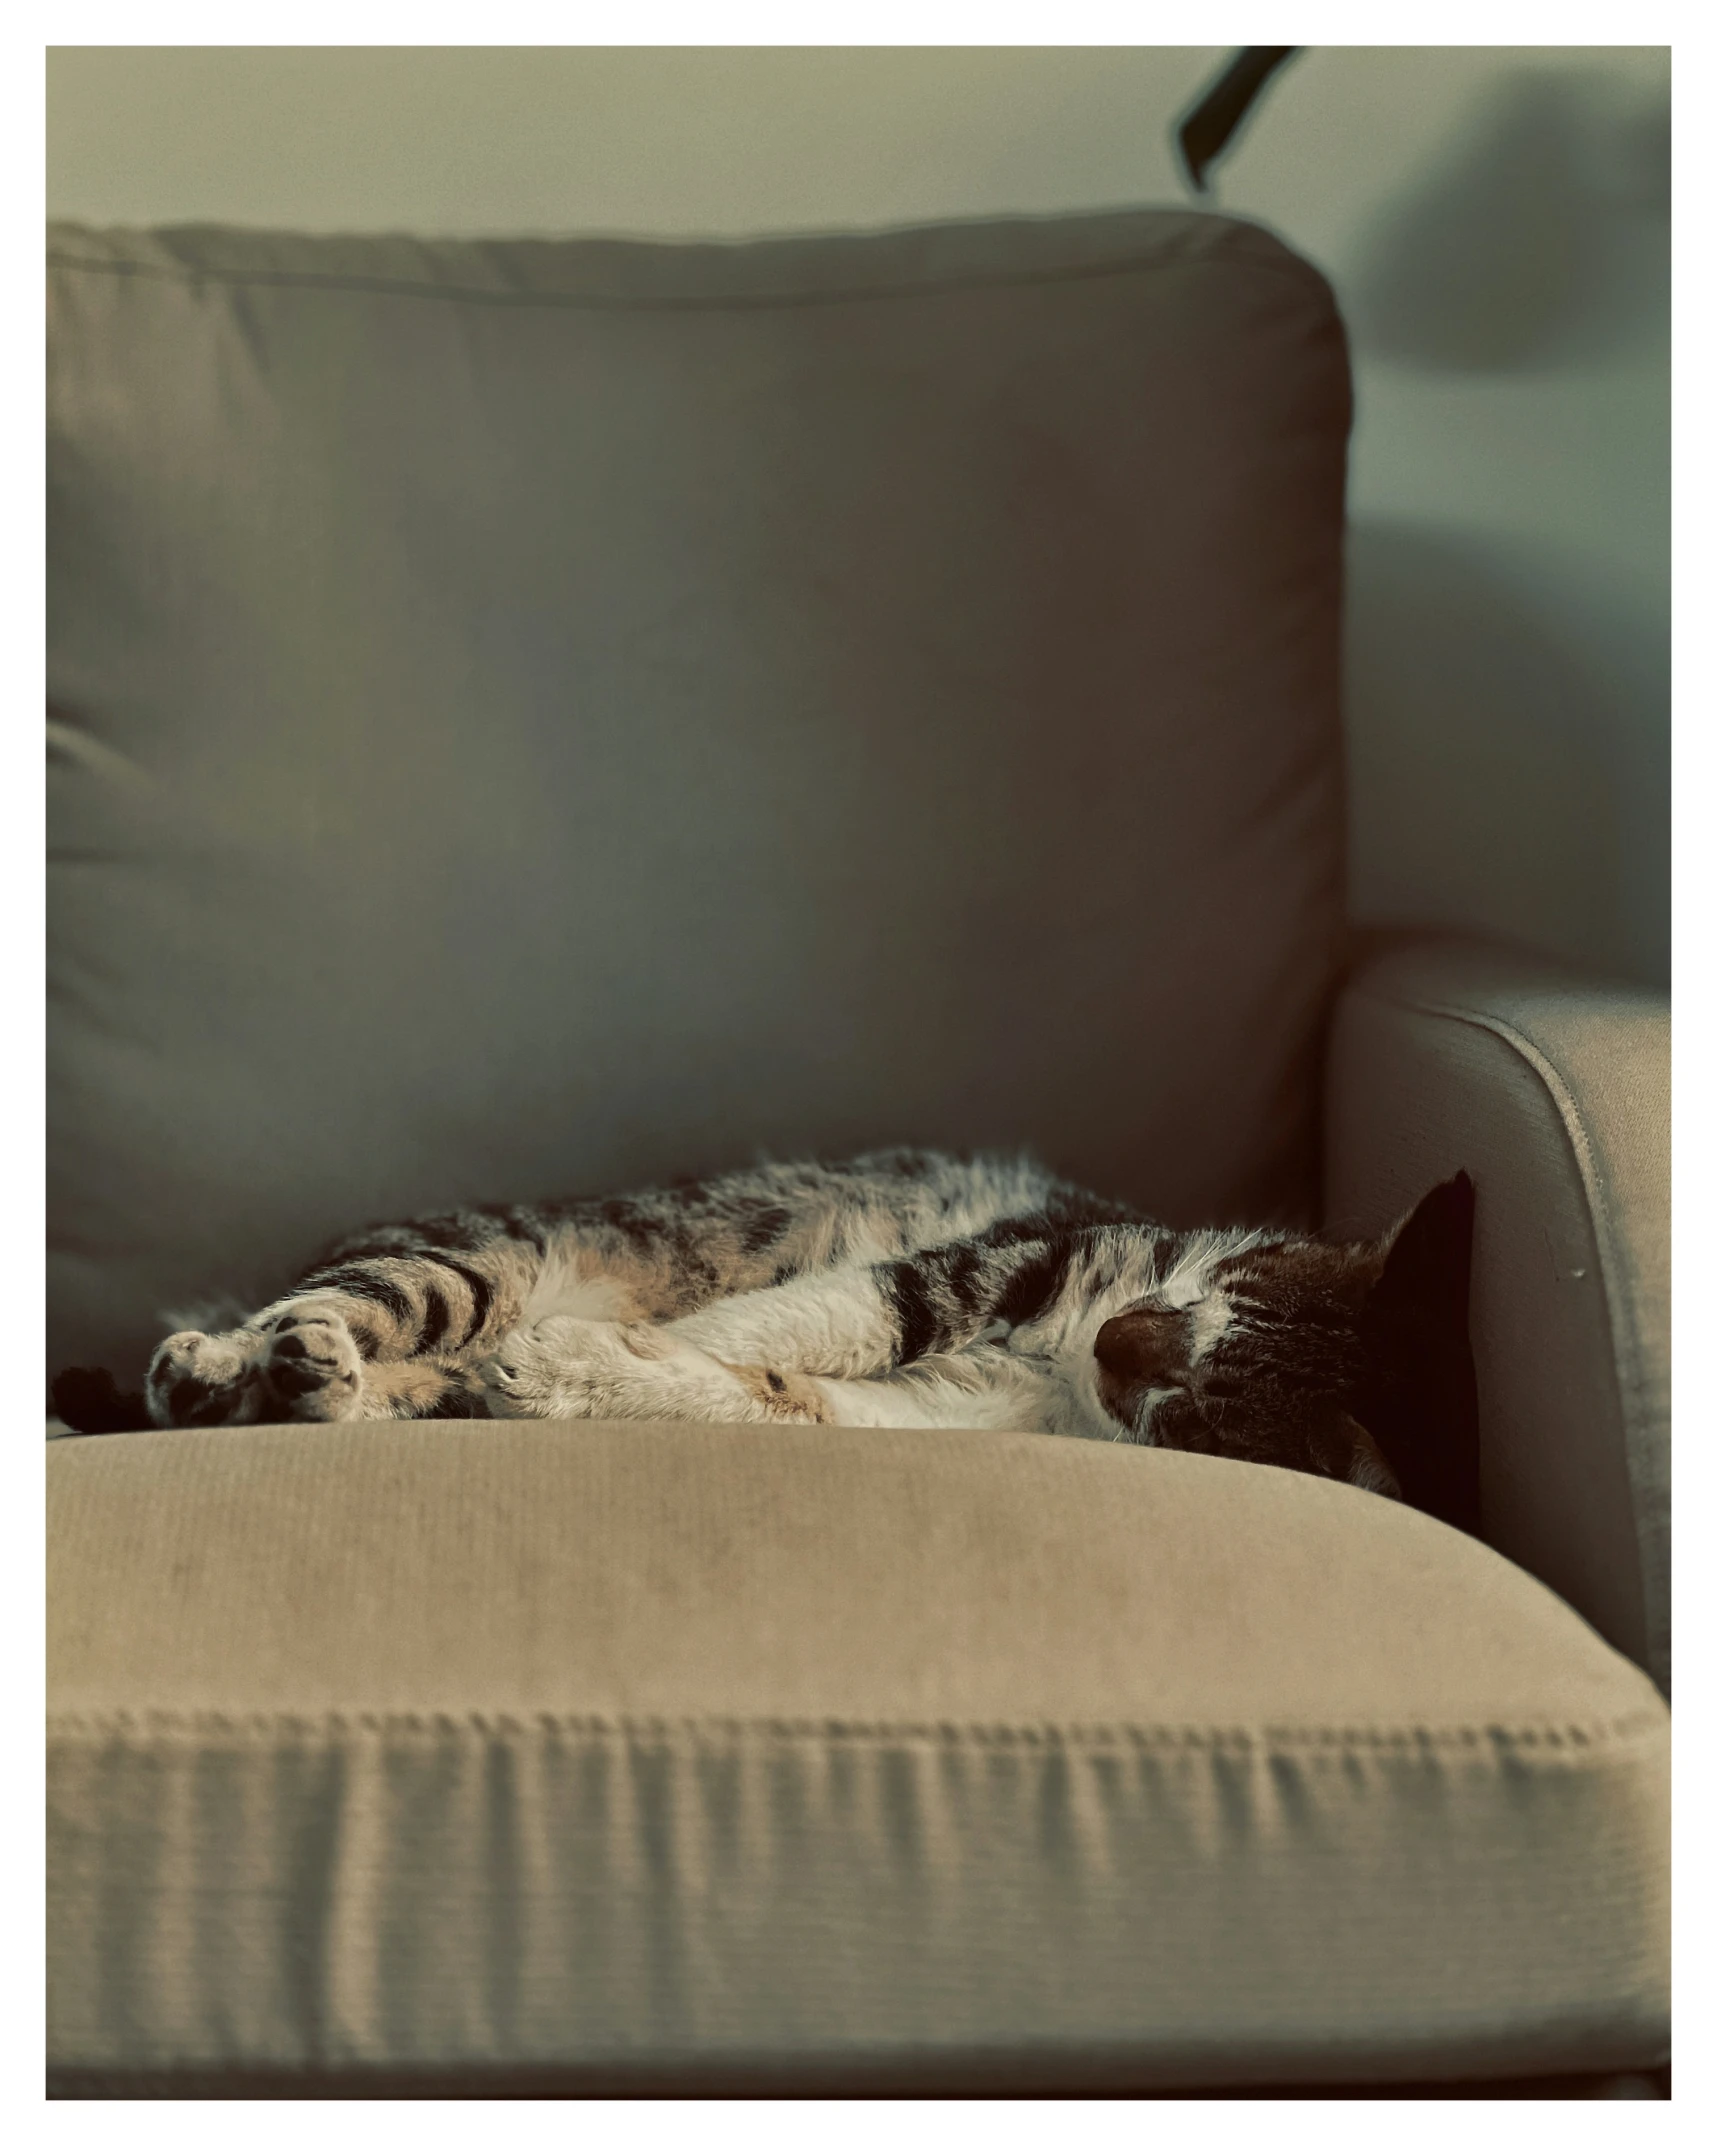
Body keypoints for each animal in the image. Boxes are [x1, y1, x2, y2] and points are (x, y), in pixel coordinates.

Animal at [63, 1158, 1476, 1527]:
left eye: (1186, 1411)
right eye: (1203, 1296)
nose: (1118, 1344)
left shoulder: (947, 1412)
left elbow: (782, 1393)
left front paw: (576, 1375)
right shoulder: (991, 1260)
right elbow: (800, 1319)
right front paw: (581, 1356)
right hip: (462, 1259)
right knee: (336, 1308)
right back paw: (234, 1360)